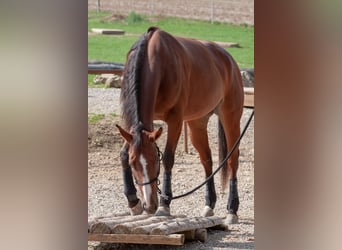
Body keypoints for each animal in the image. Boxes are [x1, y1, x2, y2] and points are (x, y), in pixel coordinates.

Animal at [116, 26, 244, 225]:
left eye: (155, 160)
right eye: (133, 163)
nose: (149, 205)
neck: (155, 59)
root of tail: (228, 60)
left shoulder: (175, 119)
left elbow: (168, 158)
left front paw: (164, 204)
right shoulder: (140, 126)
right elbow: (123, 154)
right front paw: (133, 202)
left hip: (230, 117)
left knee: (232, 161)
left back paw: (232, 210)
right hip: (197, 122)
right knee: (207, 160)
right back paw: (209, 205)